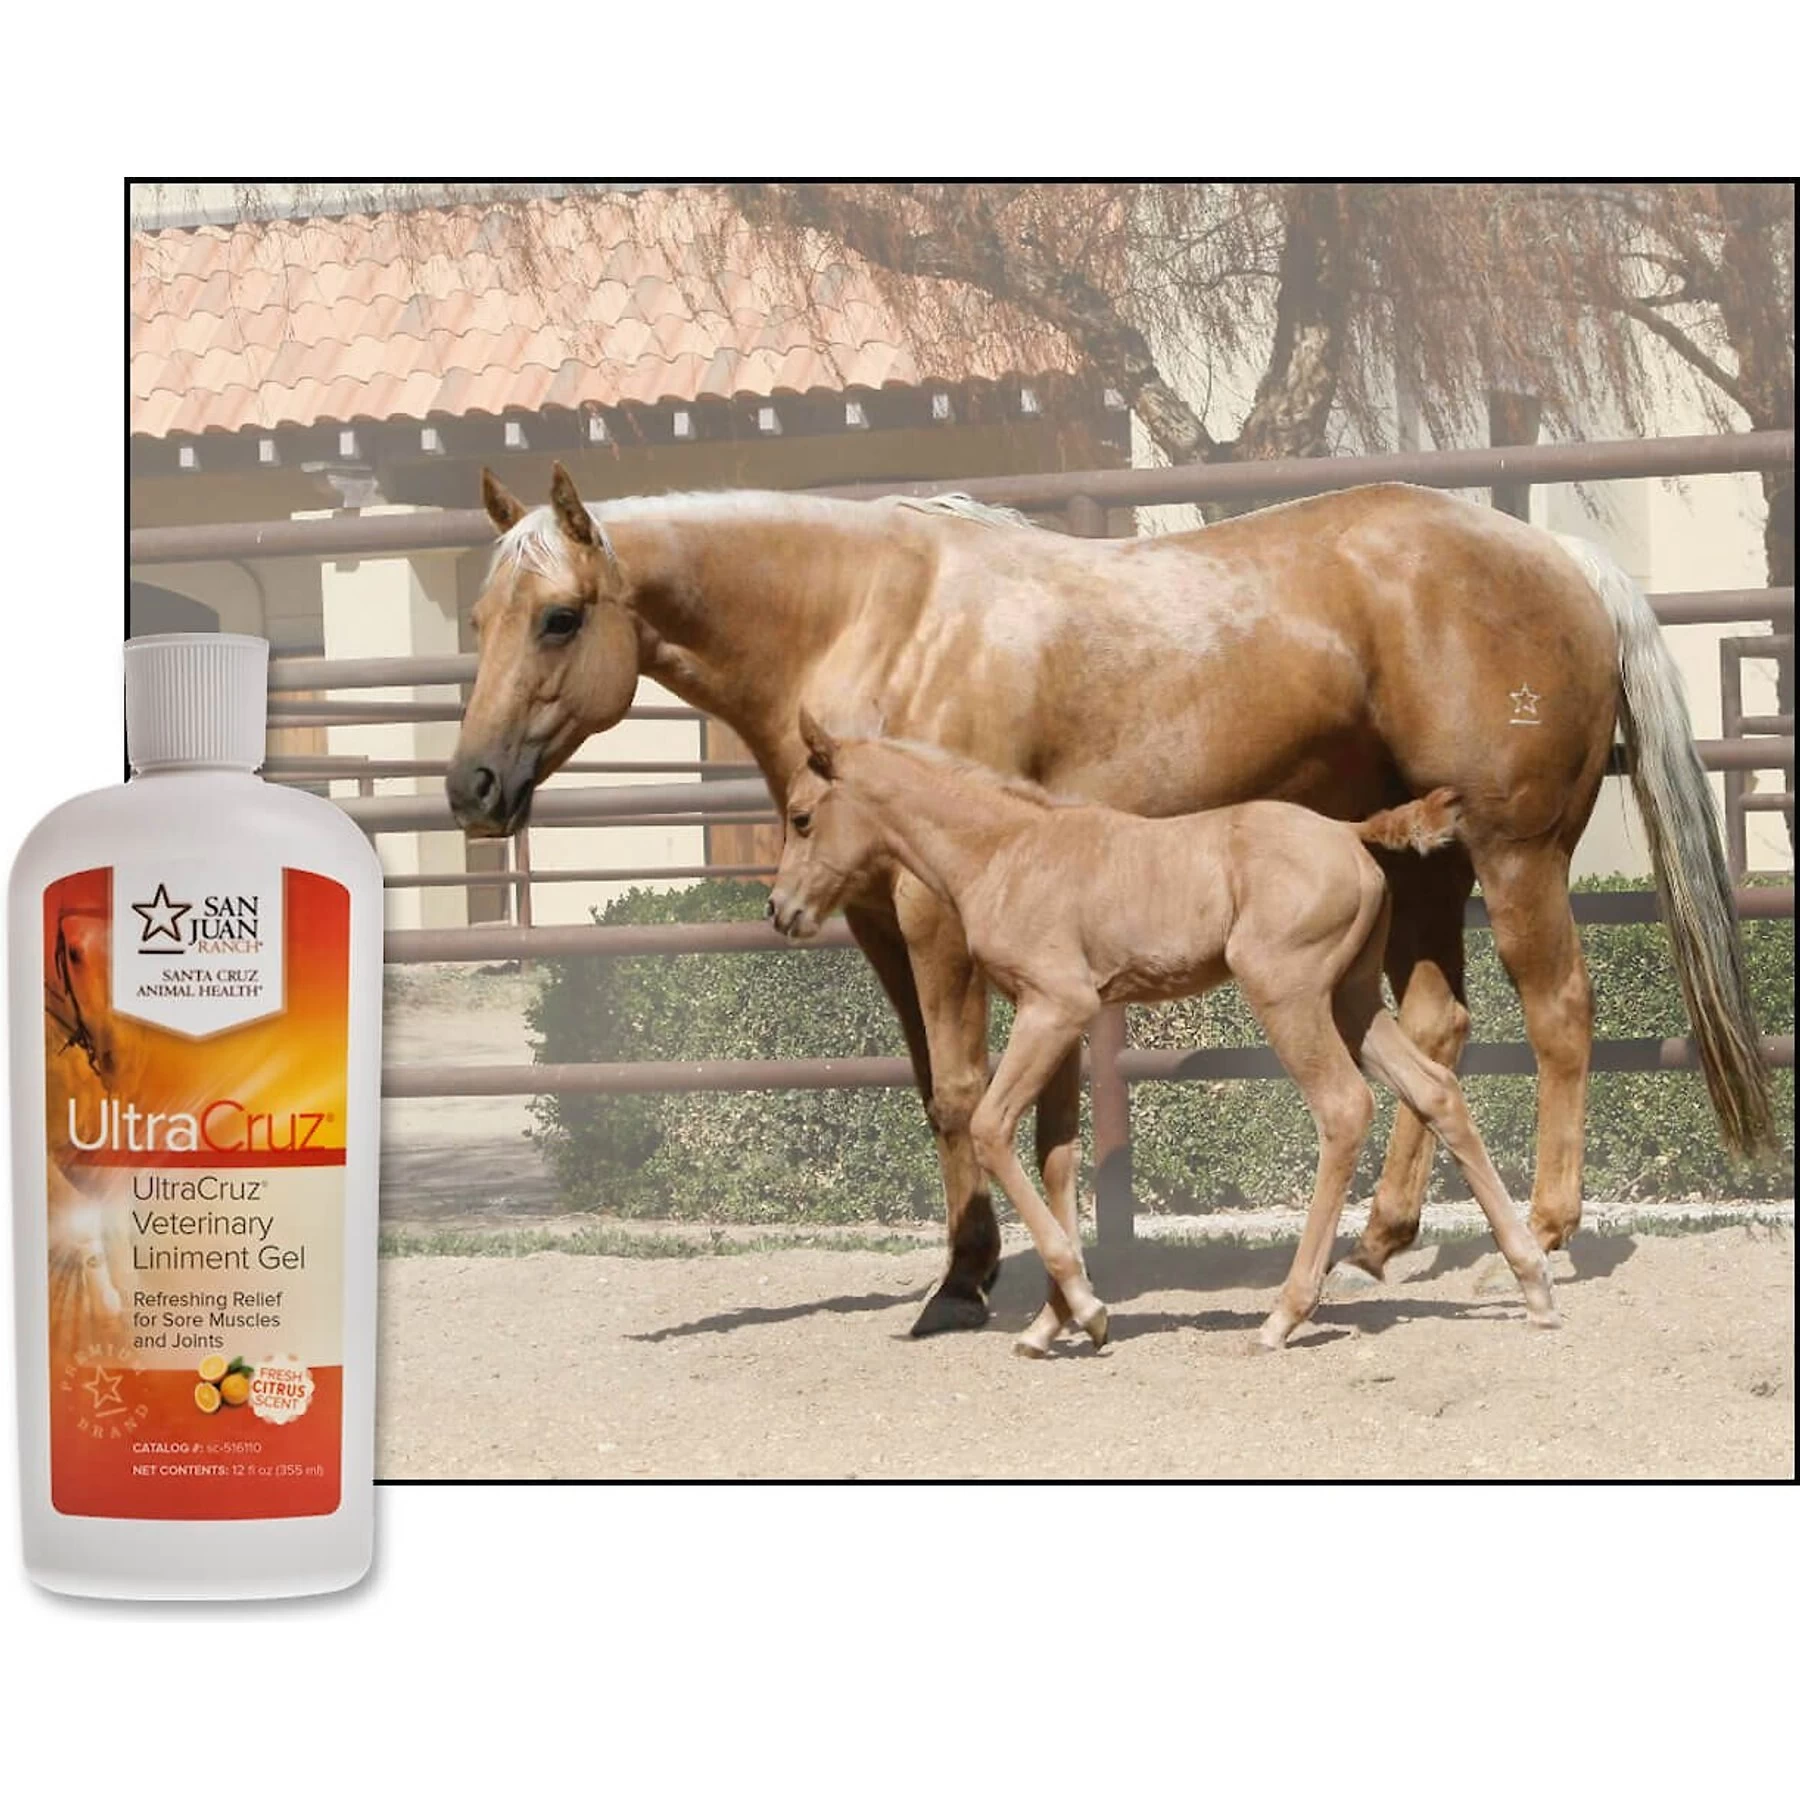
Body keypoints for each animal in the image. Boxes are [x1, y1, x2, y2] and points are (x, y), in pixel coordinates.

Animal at [767, 714, 1560, 1353]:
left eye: (801, 817)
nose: (780, 910)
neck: (1005, 850)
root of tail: (1347, 831)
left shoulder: (1053, 1007)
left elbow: (992, 1129)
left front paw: (1086, 1309)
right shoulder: (1061, 1019)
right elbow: (1057, 1157)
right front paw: (1053, 1322)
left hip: (1290, 995)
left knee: (1343, 1108)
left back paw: (1284, 1314)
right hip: (1352, 999)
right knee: (1436, 1090)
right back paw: (1533, 1284)